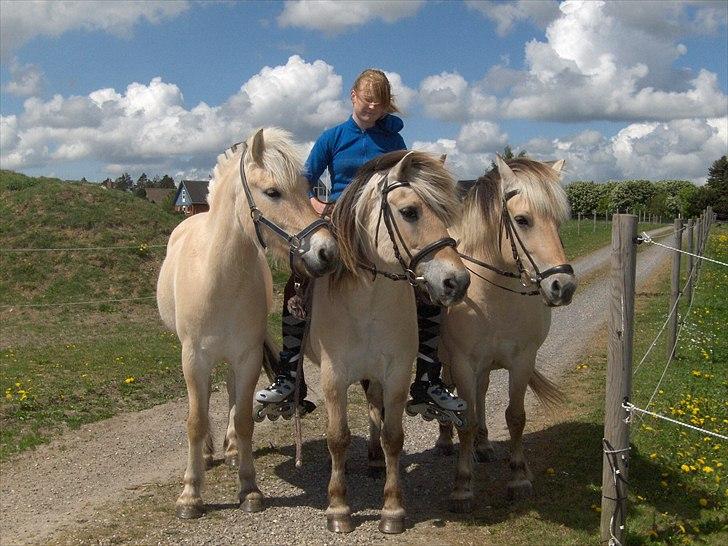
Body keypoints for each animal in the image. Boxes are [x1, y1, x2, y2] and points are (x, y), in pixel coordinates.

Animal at [156, 127, 338, 520]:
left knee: (228, 394)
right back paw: (210, 450)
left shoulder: (247, 356)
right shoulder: (193, 357)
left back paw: (229, 449)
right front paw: (191, 494)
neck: (218, 277)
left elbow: (242, 419)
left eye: (308, 189)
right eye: (272, 192)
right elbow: (195, 420)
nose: (327, 252)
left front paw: (249, 488)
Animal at [304, 149, 470, 532]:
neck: (366, 301)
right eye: (409, 211)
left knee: (374, 407)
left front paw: (392, 510)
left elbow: (393, 436)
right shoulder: (333, 378)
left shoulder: (395, 374)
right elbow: (338, 438)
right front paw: (338, 509)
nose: (457, 282)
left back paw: (375, 460)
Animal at [436, 156, 576, 510]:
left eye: (560, 221)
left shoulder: (522, 361)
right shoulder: (463, 362)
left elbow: (515, 417)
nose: (563, 286)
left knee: (482, 392)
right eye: (523, 220)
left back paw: (484, 445)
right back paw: (443, 439)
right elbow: (466, 420)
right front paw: (463, 485)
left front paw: (518, 476)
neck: (493, 296)